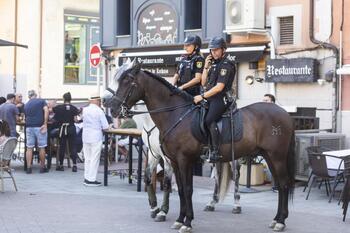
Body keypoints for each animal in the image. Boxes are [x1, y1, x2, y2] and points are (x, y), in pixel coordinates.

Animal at [104, 60, 296, 233]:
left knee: (282, 184)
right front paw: (179, 219)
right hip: (268, 156)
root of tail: (284, 113)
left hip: (275, 156)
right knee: (279, 185)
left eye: (127, 81)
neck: (175, 114)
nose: (110, 106)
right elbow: (181, 189)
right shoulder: (173, 160)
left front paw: (186, 222)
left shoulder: (183, 160)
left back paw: (278, 220)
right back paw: (275, 219)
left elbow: (186, 189)